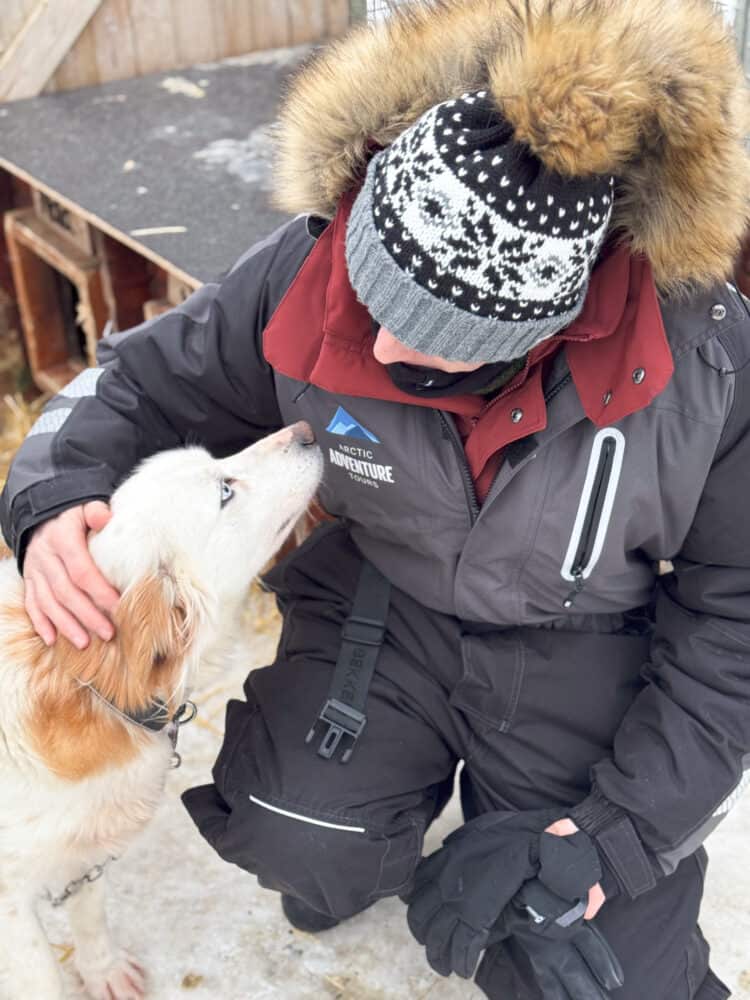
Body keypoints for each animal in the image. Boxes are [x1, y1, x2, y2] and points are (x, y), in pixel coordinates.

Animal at [0, 424, 320, 1000]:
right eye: (224, 490)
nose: (305, 430)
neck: (88, 687)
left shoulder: (85, 854)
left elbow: (89, 911)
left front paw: (103, 972)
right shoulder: (10, 903)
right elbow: (42, 978)